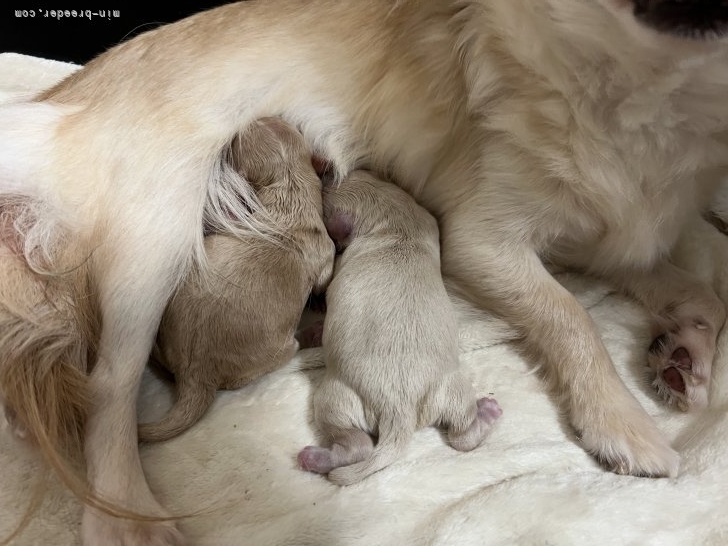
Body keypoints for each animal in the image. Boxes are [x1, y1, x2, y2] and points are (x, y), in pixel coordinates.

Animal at [139, 119, 336, 442]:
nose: (249, 119)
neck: (288, 187)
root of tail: (195, 376)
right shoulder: (326, 254)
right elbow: (323, 280)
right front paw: (319, 301)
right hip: (279, 348)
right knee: (290, 353)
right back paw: (311, 337)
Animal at [298, 171, 504, 484]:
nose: (324, 177)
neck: (397, 223)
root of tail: (399, 412)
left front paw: (315, 323)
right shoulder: (424, 218)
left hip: (338, 398)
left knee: (356, 444)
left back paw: (316, 458)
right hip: (448, 389)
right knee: (462, 436)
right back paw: (488, 412)